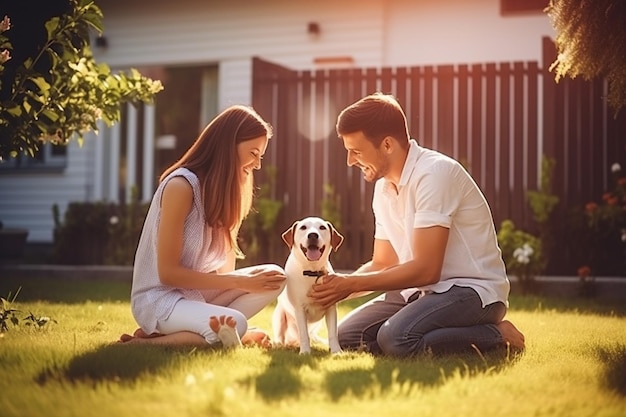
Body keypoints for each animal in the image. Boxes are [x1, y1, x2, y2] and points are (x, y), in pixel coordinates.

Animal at [270, 216, 344, 352]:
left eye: (322, 227)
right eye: (303, 227)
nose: (313, 235)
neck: (312, 272)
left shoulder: (331, 308)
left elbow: (332, 333)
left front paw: (336, 351)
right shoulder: (300, 309)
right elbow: (304, 334)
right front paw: (305, 352)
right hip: (279, 316)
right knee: (281, 336)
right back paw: (279, 344)